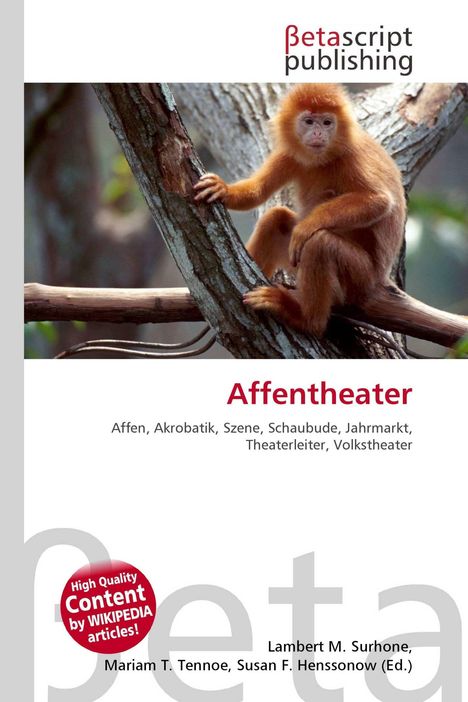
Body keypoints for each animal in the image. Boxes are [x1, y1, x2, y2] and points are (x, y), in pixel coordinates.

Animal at [194, 83, 468, 344]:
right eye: (309, 121)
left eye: (327, 123)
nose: (318, 133)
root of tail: (380, 283)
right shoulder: (290, 152)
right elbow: (259, 191)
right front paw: (223, 190)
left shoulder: (352, 155)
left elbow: (378, 202)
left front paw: (306, 226)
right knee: (276, 218)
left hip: (359, 279)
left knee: (320, 243)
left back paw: (304, 318)